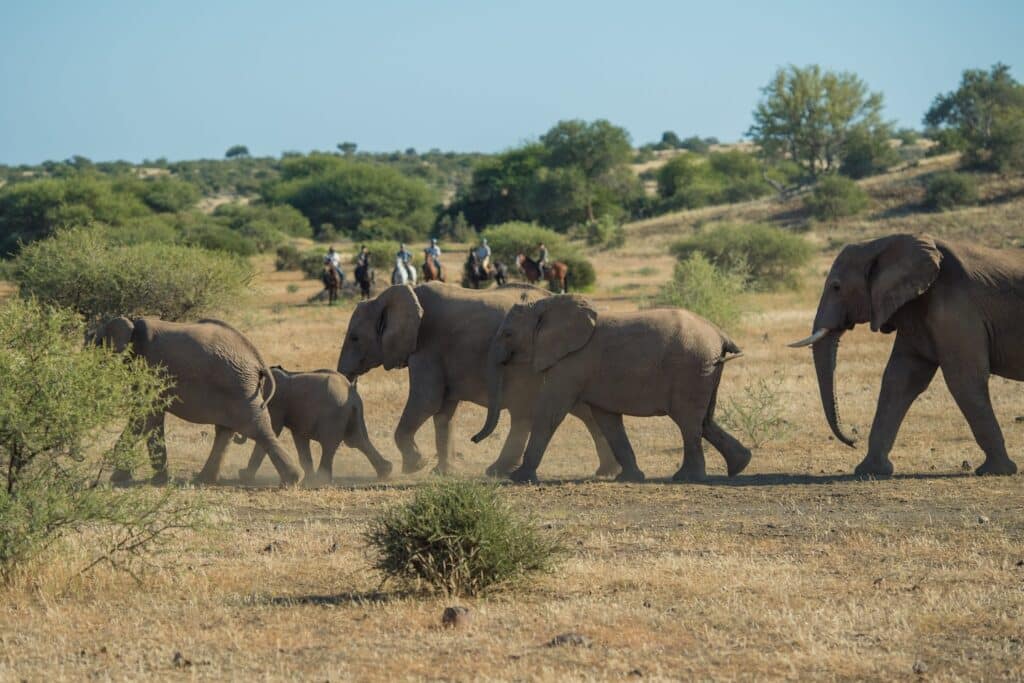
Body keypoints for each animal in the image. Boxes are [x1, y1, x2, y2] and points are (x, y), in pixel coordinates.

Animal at [92, 317, 301, 485]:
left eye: (96, 344)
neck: (132, 324)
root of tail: (258, 360)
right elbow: (153, 417)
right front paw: (156, 479)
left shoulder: (149, 365)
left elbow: (145, 415)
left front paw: (119, 478)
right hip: (238, 388)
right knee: (227, 431)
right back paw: (204, 480)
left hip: (239, 385)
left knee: (256, 428)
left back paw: (292, 480)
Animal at [235, 366, 391, 483]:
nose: (237, 436)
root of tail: (352, 394)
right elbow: (299, 438)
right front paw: (307, 479)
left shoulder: (276, 402)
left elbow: (272, 430)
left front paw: (244, 476)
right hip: (353, 414)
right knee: (357, 440)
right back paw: (385, 471)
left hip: (334, 413)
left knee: (330, 444)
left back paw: (321, 480)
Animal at [337, 280, 614, 479]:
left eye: (354, 337)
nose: (474, 438)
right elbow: (444, 411)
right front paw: (442, 473)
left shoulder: (427, 346)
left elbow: (427, 401)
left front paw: (415, 466)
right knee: (582, 410)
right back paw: (608, 470)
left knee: (526, 412)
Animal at [471, 296, 753, 483]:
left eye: (507, 334)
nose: (473, 440)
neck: (546, 306)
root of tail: (720, 334)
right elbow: (608, 421)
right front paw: (630, 478)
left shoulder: (571, 363)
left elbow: (550, 411)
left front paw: (519, 479)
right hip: (705, 370)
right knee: (705, 420)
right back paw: (740, 465)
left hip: (691, 368)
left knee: (688, 421)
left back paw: (687, 478)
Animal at [790, 233, 1015, 475]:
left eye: (836, 287)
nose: (854, 439)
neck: (882, 243)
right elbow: (900, 379)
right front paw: (871, 471)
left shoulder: (956, 308)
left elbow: (964, 379)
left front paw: (997, 470)